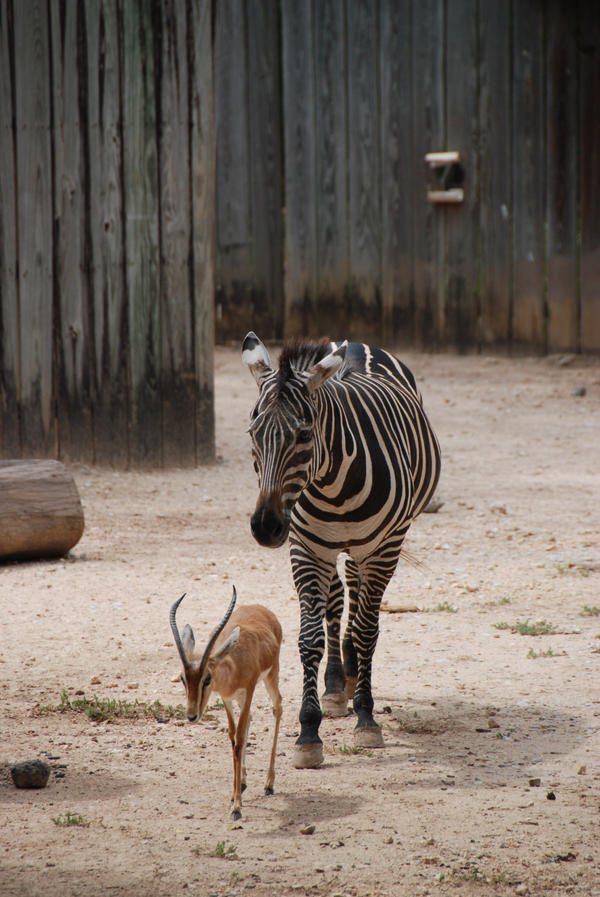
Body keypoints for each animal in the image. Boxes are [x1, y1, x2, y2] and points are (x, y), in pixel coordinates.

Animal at [240, 332, 440, 768]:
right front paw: (309, 730)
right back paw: (334, 684)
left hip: (368, 545)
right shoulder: (305, 547)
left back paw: (349, 677)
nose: (265, 527)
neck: (332, 485)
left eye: (303, 435)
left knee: (358, 601)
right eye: (252, 434)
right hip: (331, 547)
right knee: (335, 603)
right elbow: (310, 636)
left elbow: (367, 629)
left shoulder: (384, 548)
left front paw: (366, 716)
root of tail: (358, 344)